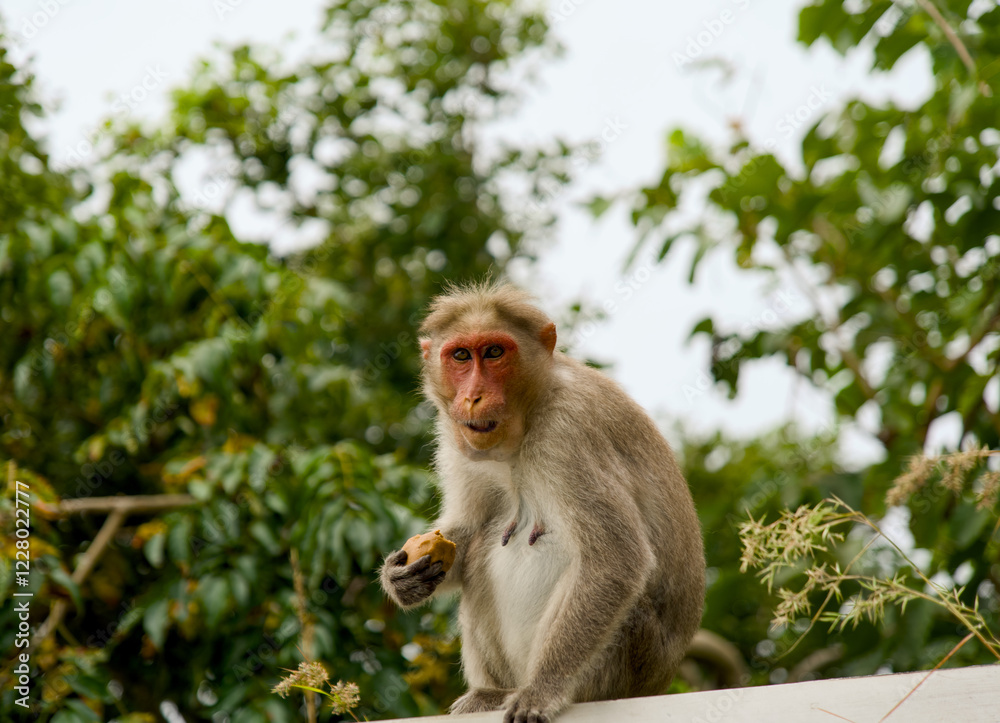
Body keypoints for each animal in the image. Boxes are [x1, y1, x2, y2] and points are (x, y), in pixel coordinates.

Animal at [380, 282, 705, 723]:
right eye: (461, 356)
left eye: (494, 352)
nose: (474, 397)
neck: (528, 417)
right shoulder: (454, 434)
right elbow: (466, 528)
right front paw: (401, 575)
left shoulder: (569, 430)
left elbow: (616, 558)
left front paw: (541, 690)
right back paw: (491, 693)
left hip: (628, 658)